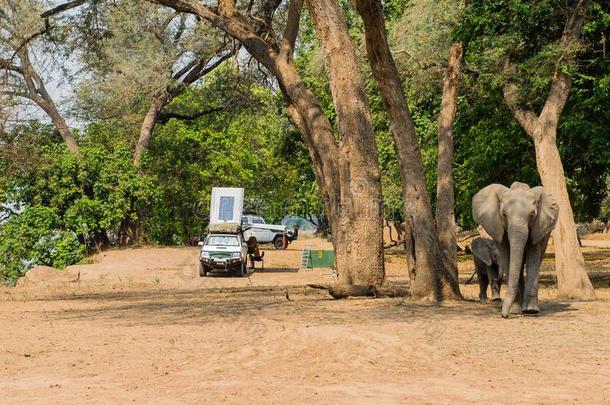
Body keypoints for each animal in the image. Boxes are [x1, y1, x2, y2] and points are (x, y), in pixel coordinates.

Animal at [470, 181, 556, 318]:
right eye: (504, 215)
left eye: (532, 215)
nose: (504, 316)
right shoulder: (499, 229)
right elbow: (507, 257)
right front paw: (514, 310)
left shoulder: (538, 227)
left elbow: (533, 258)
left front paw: (531, 311)